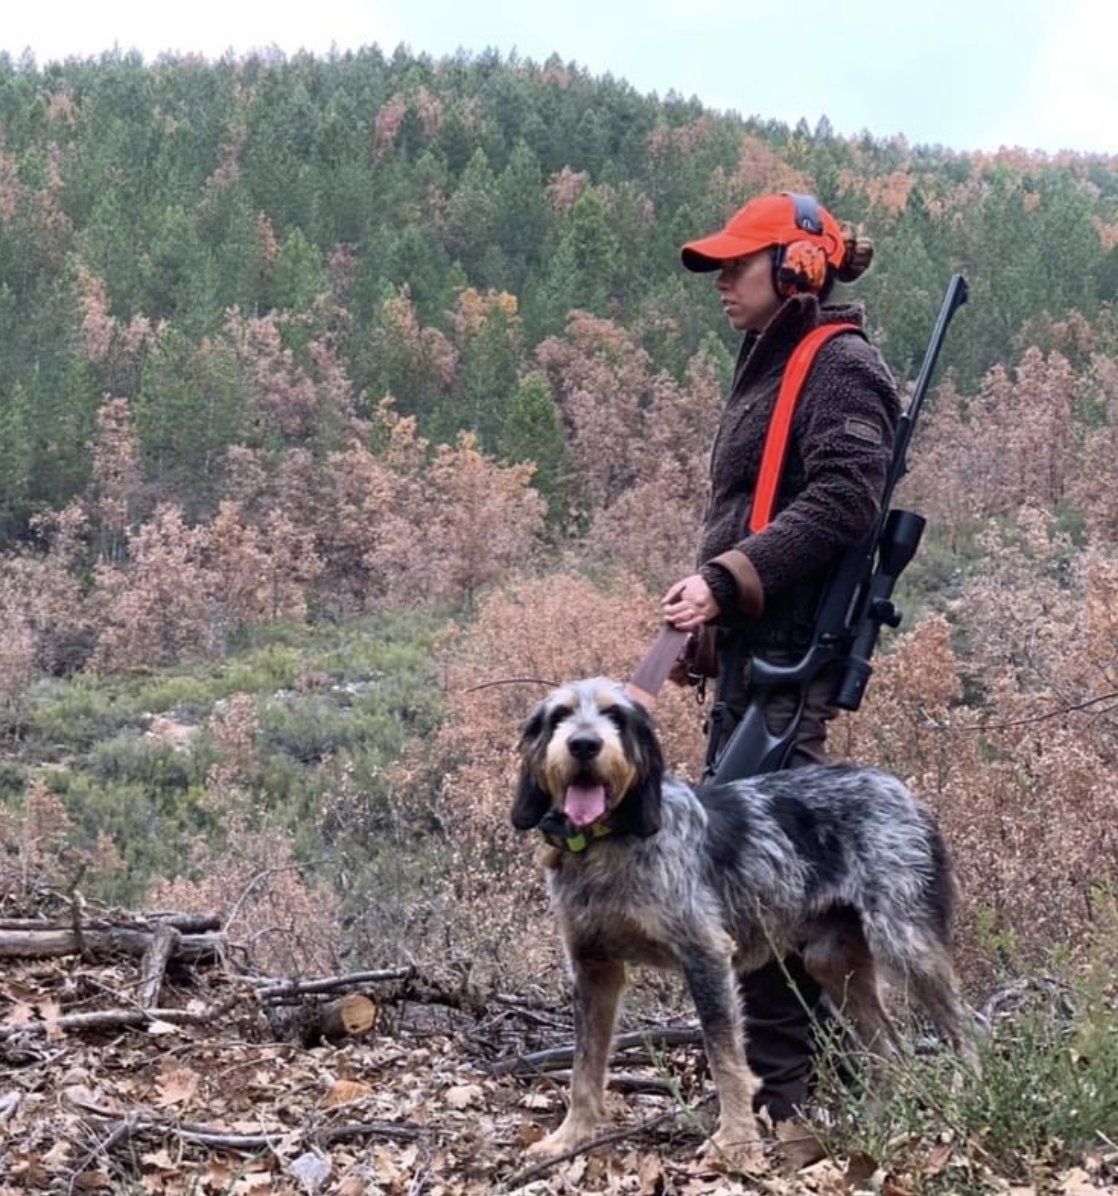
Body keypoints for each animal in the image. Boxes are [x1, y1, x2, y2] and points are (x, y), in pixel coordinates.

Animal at [511, 684, 975, 1157]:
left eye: (616, 716)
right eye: (559, 716)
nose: (584, 744)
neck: (606, 844)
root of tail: (909, 797)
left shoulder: (706, 956)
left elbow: (726, 1059)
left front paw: (734, 1142)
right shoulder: (593, 969)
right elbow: (584, 1066)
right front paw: (569, 1137)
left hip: (907, 945)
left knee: (970, 1028)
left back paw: (968, 1106)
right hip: (834, 962)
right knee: (891, 1048)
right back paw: (876, 1125)